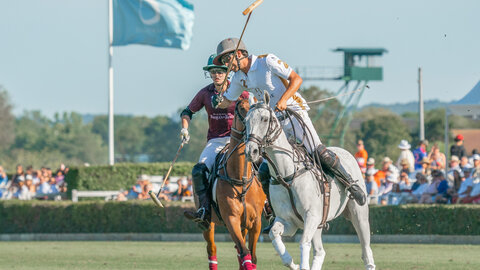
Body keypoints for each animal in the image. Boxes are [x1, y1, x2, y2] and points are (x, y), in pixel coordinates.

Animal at [201, 98, 264, 270]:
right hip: (209, 222)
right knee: (212, 248)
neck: (240, 179)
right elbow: (245, 252)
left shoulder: (255, 222)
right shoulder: (231, 218)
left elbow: (252, 256)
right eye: (241, 108)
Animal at [244, 94, 376, 268]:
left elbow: (303, 243)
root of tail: (346, 152)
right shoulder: (288, 221)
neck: (288, 175)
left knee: (366, 250)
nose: (250, 151)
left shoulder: (311, 216)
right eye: (245, 120)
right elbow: (274, 234)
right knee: (320, 251)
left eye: (265, 119)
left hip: (359, 214)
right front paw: (293, 264)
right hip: (319, 222)